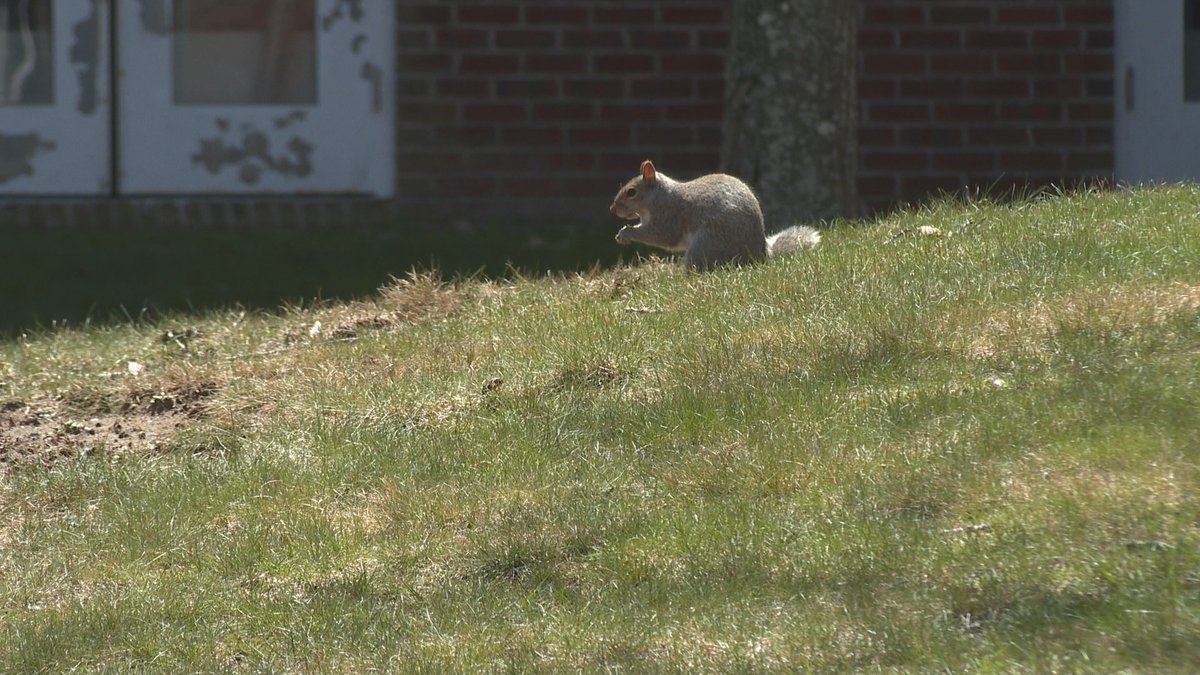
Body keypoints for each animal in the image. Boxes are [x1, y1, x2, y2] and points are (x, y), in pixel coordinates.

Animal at [610, 160, 820, 271]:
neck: (657, 197)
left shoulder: (669, 215)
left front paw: (627, 233)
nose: (612, 209)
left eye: (631, 192)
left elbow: (660, 235)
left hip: (705, 245)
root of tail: (760, 256)